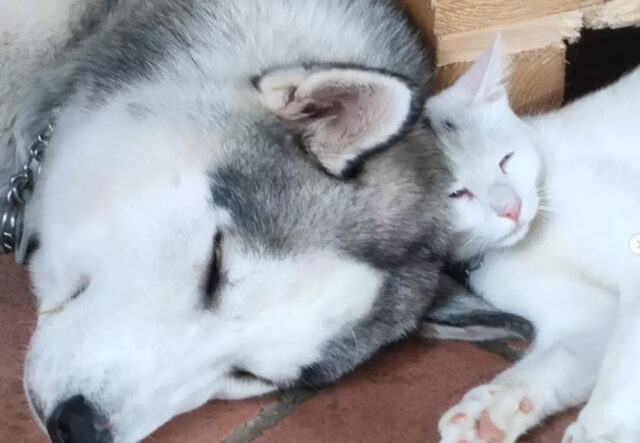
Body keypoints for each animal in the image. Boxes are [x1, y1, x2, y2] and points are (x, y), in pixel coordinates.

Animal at [424, 35, 640, 443]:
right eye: (457, 194)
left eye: (505, 160)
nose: (512, 208)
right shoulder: (587, 316)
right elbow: (563, 355)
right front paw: (488, 412)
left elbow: (625, 360)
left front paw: (602, 429)